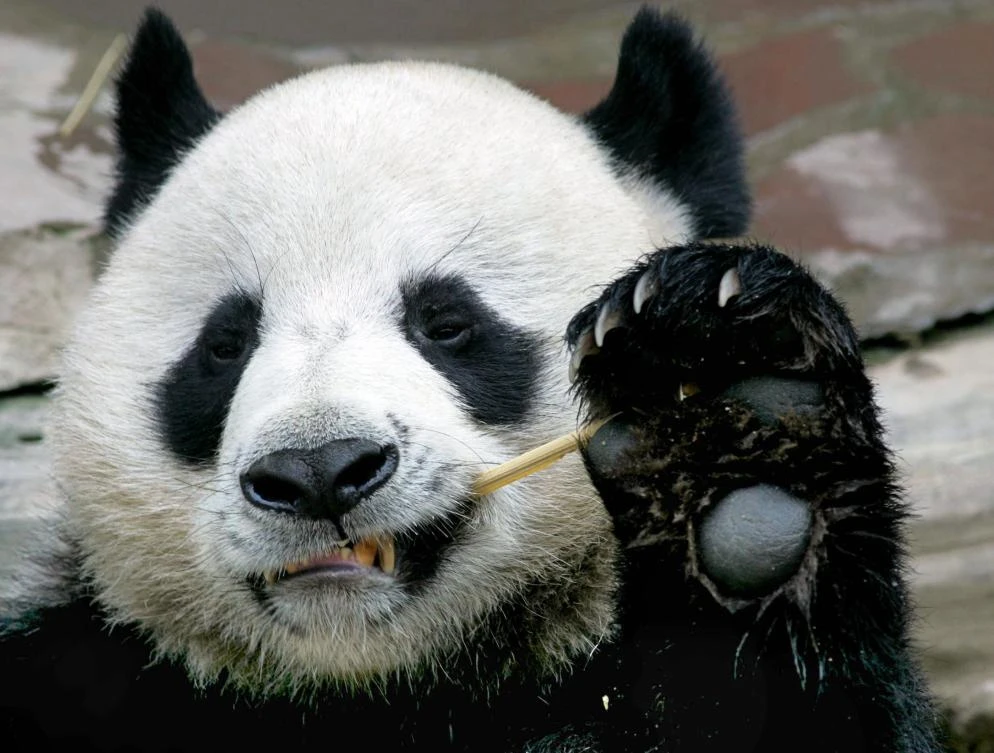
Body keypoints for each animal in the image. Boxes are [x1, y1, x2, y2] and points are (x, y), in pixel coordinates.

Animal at [0, 6, 939, 752]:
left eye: (447, 323)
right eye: (225, 343)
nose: (317, 470)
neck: (376, 688)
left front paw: (729, 408)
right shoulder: (90, 672)